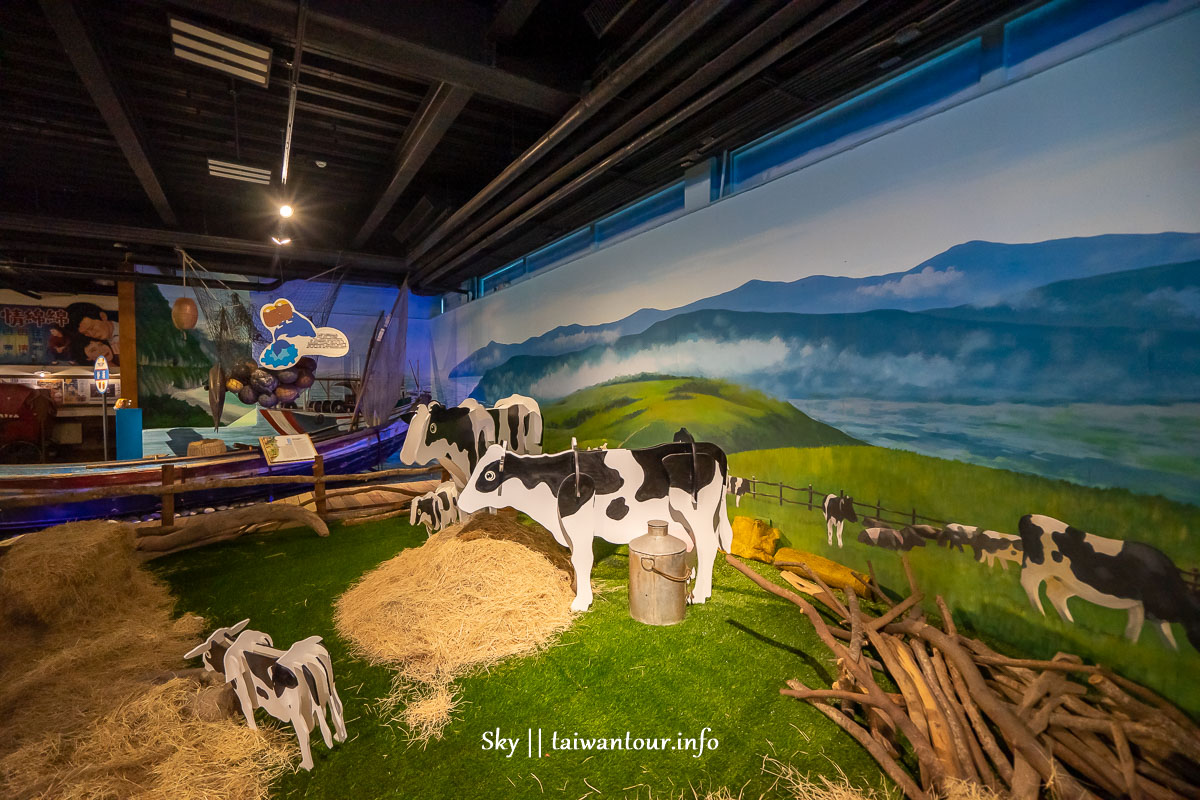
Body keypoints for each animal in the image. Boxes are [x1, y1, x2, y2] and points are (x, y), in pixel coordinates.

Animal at [184, 623, 348, 767]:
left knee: (303, 731)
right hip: (330, 688)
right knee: (338, 709)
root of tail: (306, 660)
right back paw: (340, 737)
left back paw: (307, 765)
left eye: (206, 654)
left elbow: (247, 710)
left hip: (293, 708)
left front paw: (254, 734)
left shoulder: (240, 688)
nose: (205, 665)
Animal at [456, 441, 729, 609]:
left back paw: (699, 594)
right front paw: (577, 587)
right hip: (683, 518)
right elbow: (575, 558)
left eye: (489, 475)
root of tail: (708, 447)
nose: (460, 502)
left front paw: (581, 601)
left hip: (698, 513)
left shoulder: (578, 519)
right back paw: (692, 581)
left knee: (707, 547)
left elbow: (582, 558)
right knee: (693, 544)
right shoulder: (566, 526)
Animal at [1017, 513, 1200, 652]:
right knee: (1029, 583)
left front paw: (1129, 647)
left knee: (1055, 595)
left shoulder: (1139, 605)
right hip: (1036, 565)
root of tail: (1028, 516)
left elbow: (1137, 629)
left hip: (1064, 581)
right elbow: (1157, 632)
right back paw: (1041, 614)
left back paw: (1069, 624)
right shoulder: (1152, 608)